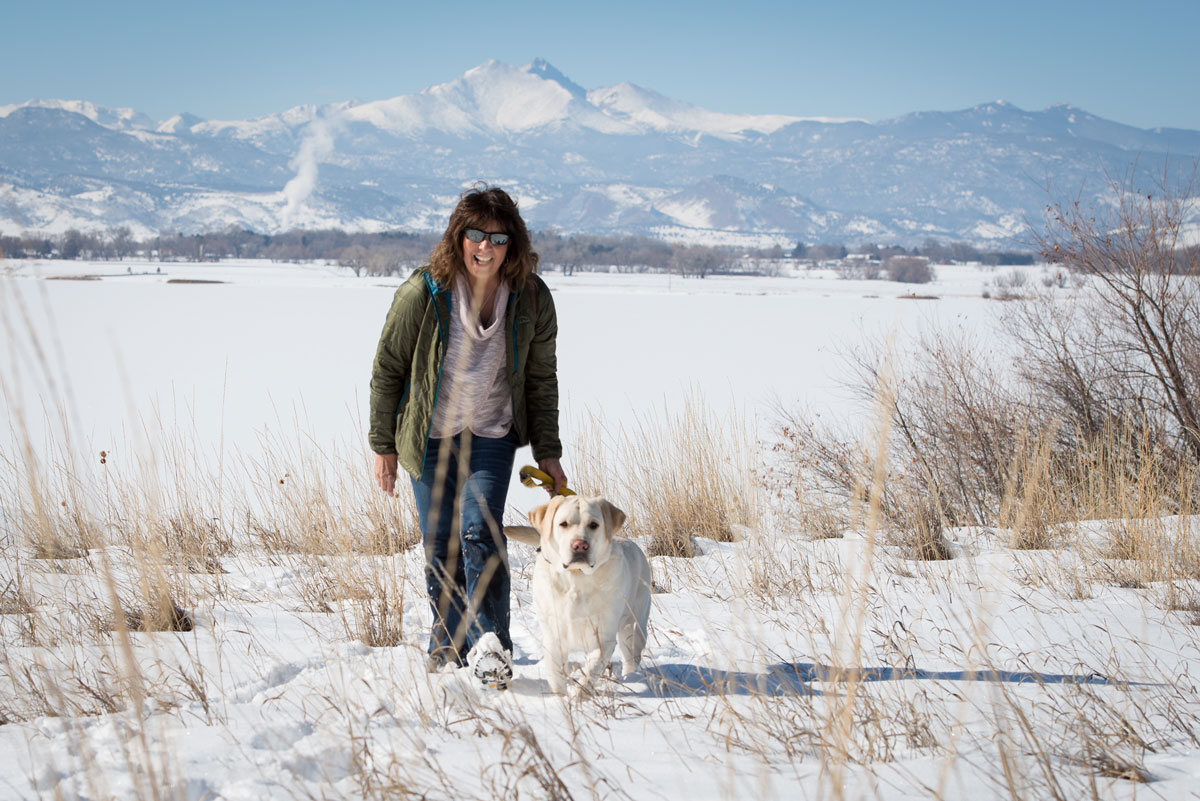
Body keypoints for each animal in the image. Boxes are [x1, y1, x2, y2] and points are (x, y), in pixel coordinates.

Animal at [508, 494, 657, 695]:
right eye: (563, 524)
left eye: (594, 524)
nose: (580, 545)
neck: (576, 577)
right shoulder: (553, 637)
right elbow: (556, 675)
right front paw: (561, 697)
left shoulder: (603, 637)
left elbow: (591, 672)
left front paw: (580, 695)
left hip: (632, 628)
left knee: (630, 658)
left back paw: (630, 678)